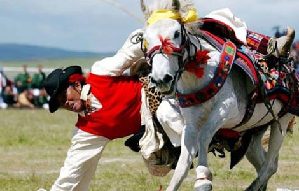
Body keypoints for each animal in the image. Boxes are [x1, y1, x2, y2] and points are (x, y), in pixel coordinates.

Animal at [142, 0, 296, 191]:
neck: (200, 74)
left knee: (269, 165)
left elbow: (204, 135)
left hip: (281, 121)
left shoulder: (228, 110)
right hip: (255, 130)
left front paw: (203, 179)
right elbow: (183, 163)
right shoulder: (190, 123)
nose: (161, 79)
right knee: (264, 161)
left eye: (176, 33)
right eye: (144, 39)